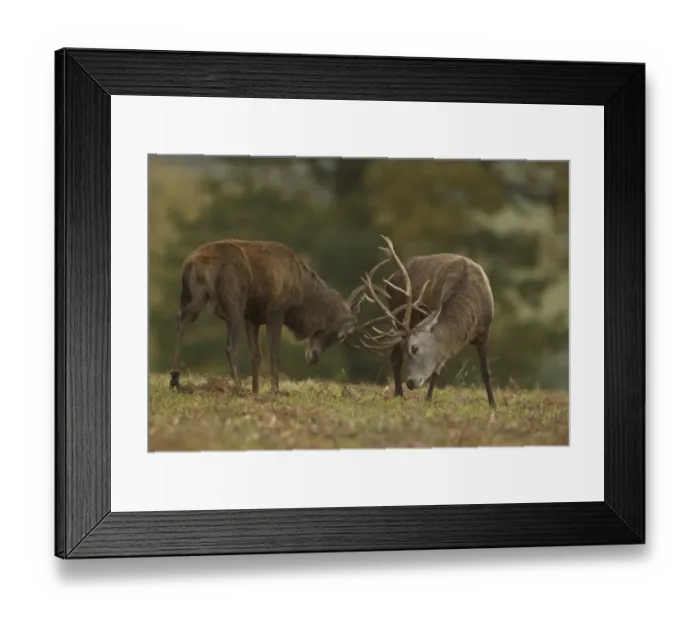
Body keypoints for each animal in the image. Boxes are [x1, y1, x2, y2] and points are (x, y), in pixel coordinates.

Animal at [168, 239, 374, 395]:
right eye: (341, 336)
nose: (314, 358)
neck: (301, 294)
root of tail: (190, 264)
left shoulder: (252, 317)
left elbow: (256, 355)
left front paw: (256, 390)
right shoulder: (276, 311)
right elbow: (274, 353)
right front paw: (275, 390)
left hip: (193, 295)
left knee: (181, 319)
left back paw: (175, 379)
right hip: (233, 302)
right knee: (229, 345)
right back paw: (237, 387)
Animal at [351, 236, 496, 407]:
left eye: (414, 348)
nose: (410, 383)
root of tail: (392, 278)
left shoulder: (484, 332)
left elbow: (486, 372)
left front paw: (493, 403)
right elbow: (436, 371)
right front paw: (427, 400)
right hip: (398, 316)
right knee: (394, 358)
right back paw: (399, 394)